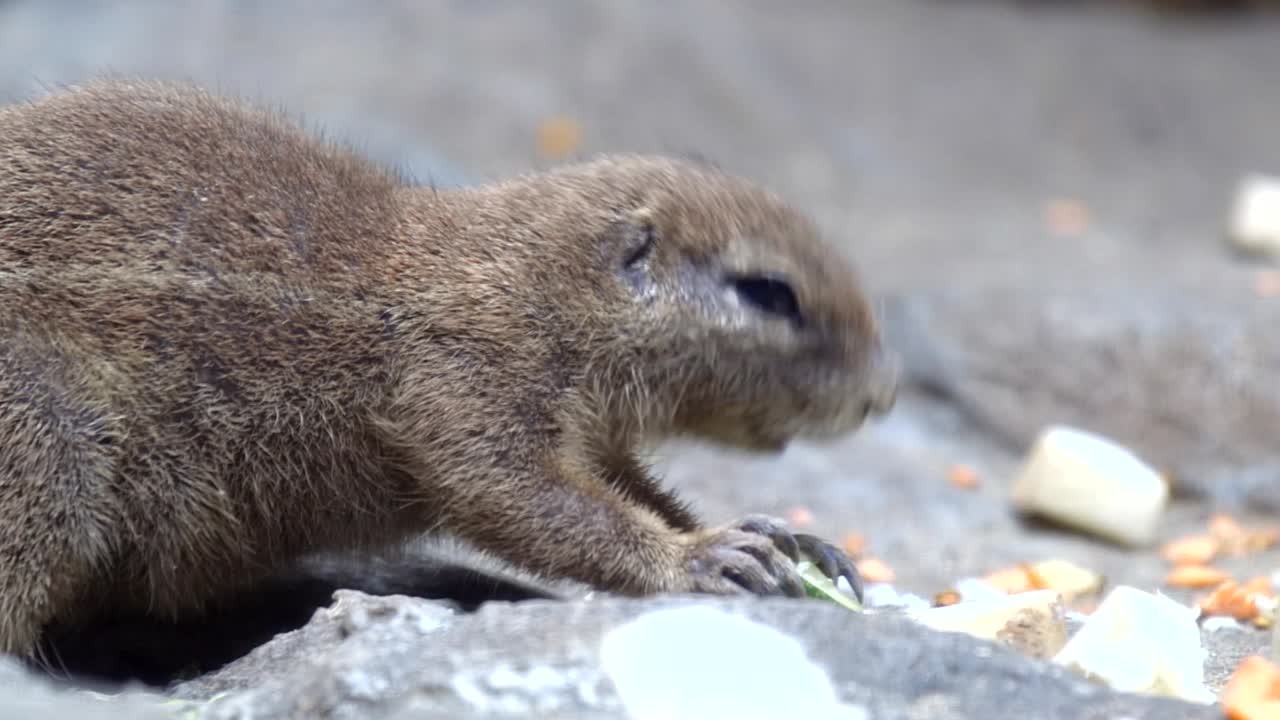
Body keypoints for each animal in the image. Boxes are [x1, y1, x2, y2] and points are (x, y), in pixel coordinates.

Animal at [0, 79, 898, 659]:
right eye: (769, 292)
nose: (884, 394)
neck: (526, 277)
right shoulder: (465, 379)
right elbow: (526, 497)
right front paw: (700, 557)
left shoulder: (592, 432)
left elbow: (626, 485)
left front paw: (783, 537)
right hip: (48, 445)